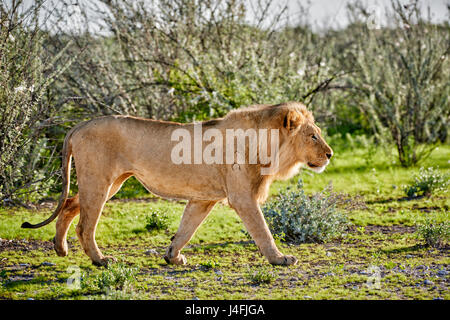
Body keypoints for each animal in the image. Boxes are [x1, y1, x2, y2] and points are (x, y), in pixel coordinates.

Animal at [21, 101, 332, 266]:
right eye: (313, 136)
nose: (330, 154)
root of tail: (79, 125)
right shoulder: (243, 197)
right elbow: (263, 231)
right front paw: (280, 259)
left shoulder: (203, 199)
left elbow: (186, 229)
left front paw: (173, 257)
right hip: (100, 181)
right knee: (85, 225)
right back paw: (101, 261)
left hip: (111, 183)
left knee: (69, 204)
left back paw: (60, 249)